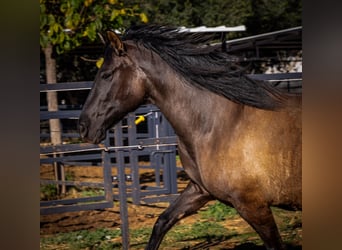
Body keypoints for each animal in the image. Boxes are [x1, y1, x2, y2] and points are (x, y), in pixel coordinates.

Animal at [79, 23, 302, 250]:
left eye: (106, 75)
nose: (83, 127)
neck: (219, 126)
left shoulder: (254, 206)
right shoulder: (199, 190)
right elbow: (162, 222)